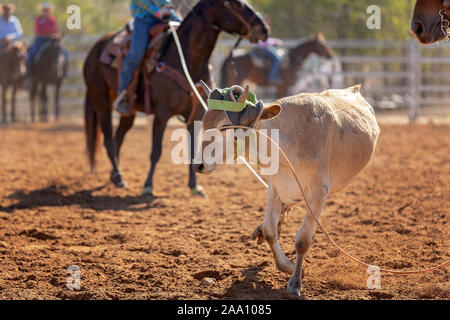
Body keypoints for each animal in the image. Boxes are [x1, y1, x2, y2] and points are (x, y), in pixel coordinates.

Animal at [83, 0, 268, 195]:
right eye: (237, 5)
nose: (264, 29)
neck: (186, 61)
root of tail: (95, 49)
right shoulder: (162, 114)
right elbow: (156, 152)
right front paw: (148, 185)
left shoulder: (196, 115)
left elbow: (193, 149)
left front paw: (194, 186)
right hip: (101, 102)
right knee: (109, 140)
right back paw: (119, 177)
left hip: (129, 112)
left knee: (119, 137)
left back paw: (115, 177)